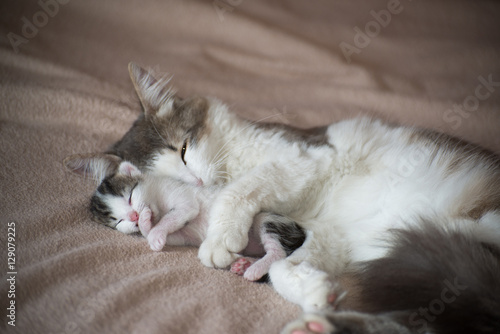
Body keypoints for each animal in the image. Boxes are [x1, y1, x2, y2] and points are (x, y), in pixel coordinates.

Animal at [65, 63, 500, 334]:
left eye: (184, 150)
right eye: (158, 181)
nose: (198, 183)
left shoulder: (304, 158)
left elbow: (243, 189)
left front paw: (220, 240)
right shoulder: (323, 231)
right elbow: (280, 269)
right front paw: (317, 293)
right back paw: (322, 325)